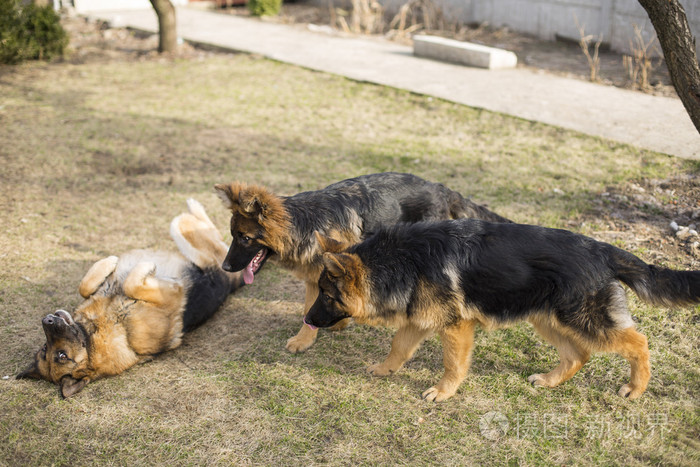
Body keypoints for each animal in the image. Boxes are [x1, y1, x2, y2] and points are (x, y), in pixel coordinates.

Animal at [16, 199, 253, 400]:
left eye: (45, 348)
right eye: (61, 355)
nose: (46, 320)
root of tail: (233, 283)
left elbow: (84, 286)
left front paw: (110, 263)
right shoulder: (170, 293)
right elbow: (132, 282)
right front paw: (140, 266)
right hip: (197, 245)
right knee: (204, 230)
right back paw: (198, 206)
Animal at [213, 174, 508, 352]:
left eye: (245, 238)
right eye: (232, 235)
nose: (224, 269)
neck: (305, 222)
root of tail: (441, 188)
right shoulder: (317, 277)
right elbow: (311, 308)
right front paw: (311, 335)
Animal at [304, 219, 700, 402]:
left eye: (326, 295)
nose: (306, 320)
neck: (402, 261)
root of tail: (603, 250)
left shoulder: (455, 327)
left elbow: (453, 364)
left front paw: (443, 393)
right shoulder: (422, 318)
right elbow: (399, 346)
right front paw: (385, 370)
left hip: (584, 320)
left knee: (638, 342)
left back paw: (636, 388)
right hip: (548, 320)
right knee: (578, 354)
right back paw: (550, 381)